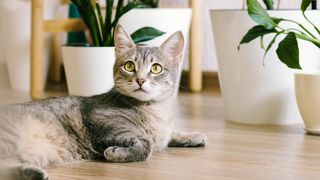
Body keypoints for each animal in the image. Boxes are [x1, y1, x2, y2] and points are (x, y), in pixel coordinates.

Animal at [0, 24, 208, 180]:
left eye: (156, 68)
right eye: (129, 66)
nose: (140, 80)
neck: (157, 111)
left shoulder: (162, 131)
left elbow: (167, 135)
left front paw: (193, 135)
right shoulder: (103, 124)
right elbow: (146, 143)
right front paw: (117, 153)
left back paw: (31, 173)